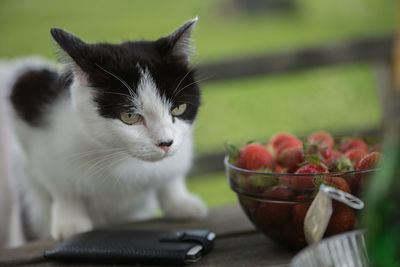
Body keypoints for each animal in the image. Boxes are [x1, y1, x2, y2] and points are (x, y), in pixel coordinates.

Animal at [4, 16, 208, 247]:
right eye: (129, 117)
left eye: (178, 108)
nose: (166, 143)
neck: (119, 155)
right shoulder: (28, 98)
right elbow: (59, 184)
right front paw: (70, 221)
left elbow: (172, 175)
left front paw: (179, 202)